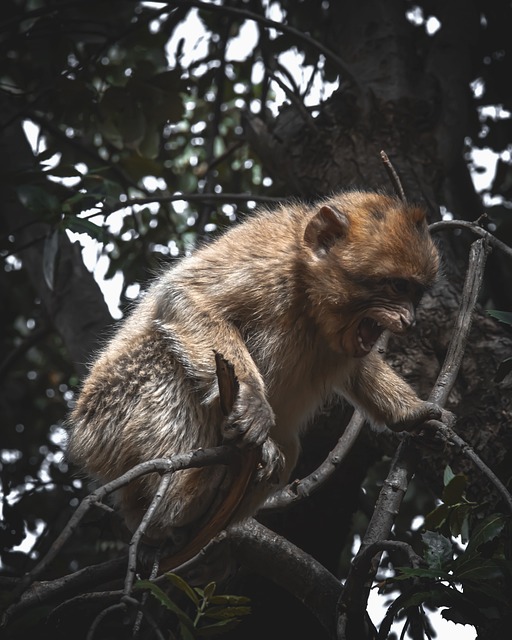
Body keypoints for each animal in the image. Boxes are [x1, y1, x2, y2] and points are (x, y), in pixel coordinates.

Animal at [67, 189, 444, 564]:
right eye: (397, 287)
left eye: (415, 292)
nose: (408, 320)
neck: (308, 295)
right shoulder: (268, 262)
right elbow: (186, 297)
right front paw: (251, 399)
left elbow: (359, 369)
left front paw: (411, 414)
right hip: (106, 420)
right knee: (167, 358)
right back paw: (176, 508)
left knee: (288, 448)